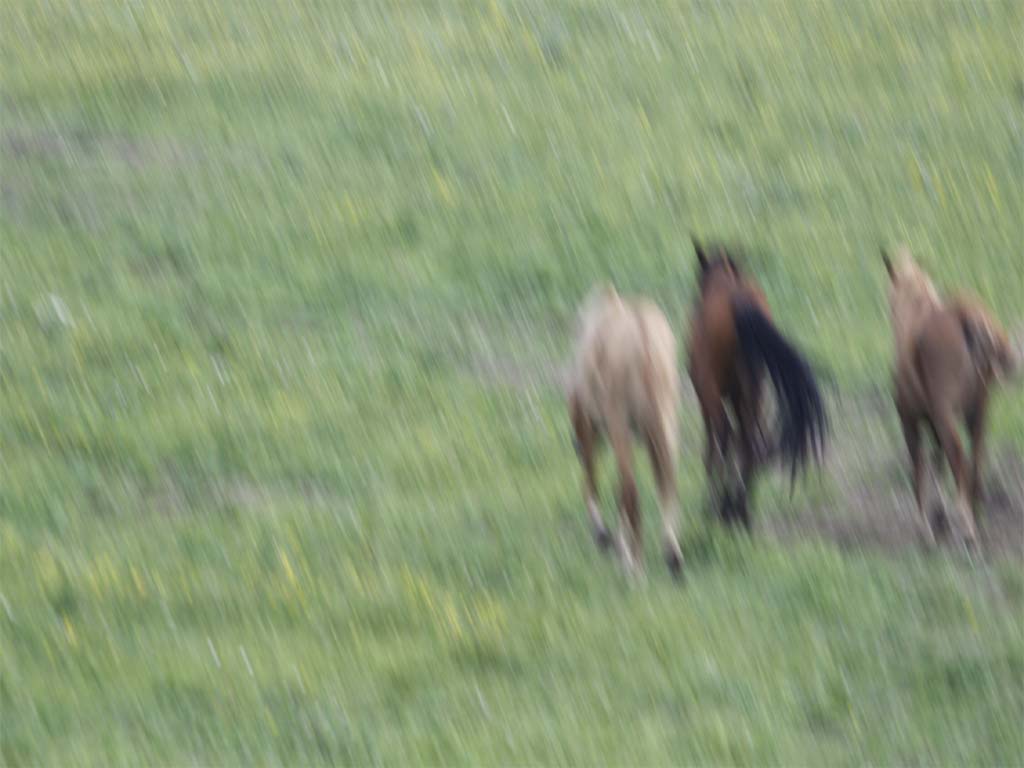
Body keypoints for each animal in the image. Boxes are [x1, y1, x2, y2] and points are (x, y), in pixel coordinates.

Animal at [565, 286, 684, 577]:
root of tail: (643, 339)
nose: (574, 444)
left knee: (630, 491)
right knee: (667, 481)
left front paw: (605, 536)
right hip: (665, 425)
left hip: (619, 426)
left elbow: (595, 482)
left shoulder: (595, 424)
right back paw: (671, 556)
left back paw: (634, 567)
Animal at [684, 239, 827, 528]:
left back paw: (720, 507)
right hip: (753, 392)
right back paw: (740, 510)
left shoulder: (706, 393)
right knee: (749, 440)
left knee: (725, 435)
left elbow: (713, 443)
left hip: (717, 392)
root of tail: (738, 302)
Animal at [880, 246, 1015, 548]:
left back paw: (966, 528)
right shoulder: (933, 420)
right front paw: (939, 517)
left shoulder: (910, 418)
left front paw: (925, 527)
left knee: (960, 461)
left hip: (948, 416)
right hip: (978, 414)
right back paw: (974, 520)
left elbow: (919, 468)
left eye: (891, 296)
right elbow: (937, 462)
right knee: (975, 465)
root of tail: (966, 316)